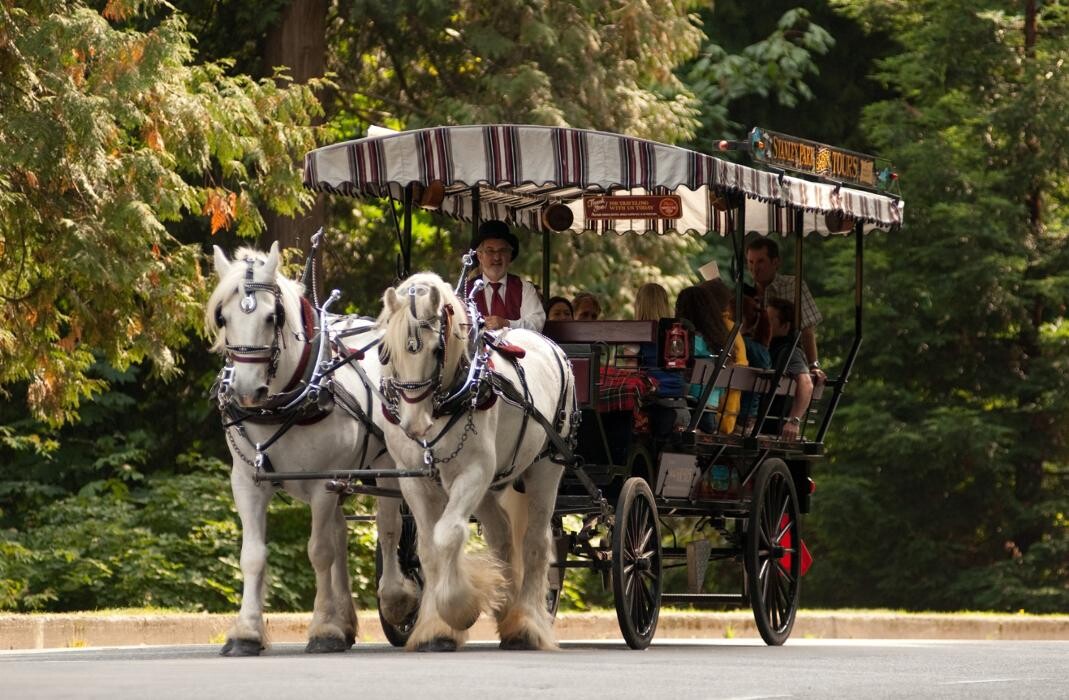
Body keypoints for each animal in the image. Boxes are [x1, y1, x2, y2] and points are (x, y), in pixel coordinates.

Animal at [206, 242, 418, 656]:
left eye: (272, 317)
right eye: (222, 317)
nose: (245, 391)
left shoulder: (323, 481)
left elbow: (319, 552)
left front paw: (323, 630)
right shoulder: (246, 481)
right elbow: (252, 556)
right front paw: (246, 632)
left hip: (387, 467)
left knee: (389, 527)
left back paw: (396, 599)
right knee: (340, 534)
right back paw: (346, 620)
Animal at [376, 272, 577, 651]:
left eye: (436, 349)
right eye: (388, 352)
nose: (414, 424)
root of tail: (549, 344)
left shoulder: (474, 472)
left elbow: (449, 534)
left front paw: (458, 608)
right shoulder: (415, 480)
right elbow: (428, 548)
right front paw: (434, 627)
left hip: (546, 465)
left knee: (536, 543)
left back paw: (526, 624)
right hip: (492, 484)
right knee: (502, 534)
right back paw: (507, 604)